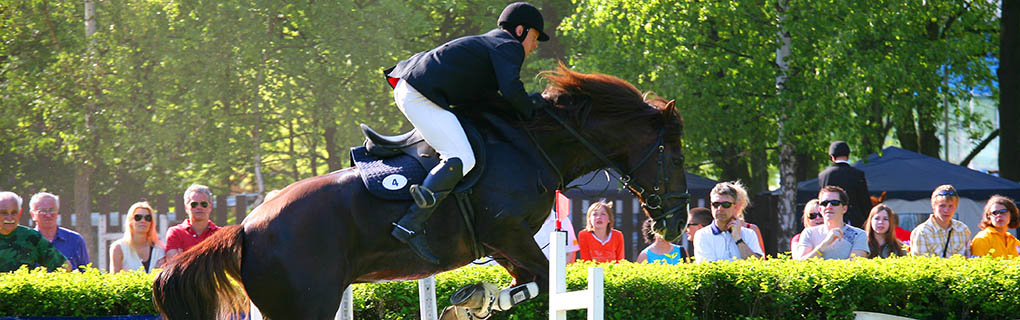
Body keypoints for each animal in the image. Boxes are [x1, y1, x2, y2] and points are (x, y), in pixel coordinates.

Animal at [150, 63, 689, 317]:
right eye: (675, 156)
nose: (677, 223)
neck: (531, 142)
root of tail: (246, 227)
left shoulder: (505, 244)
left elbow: (529, 282)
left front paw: (473, 300)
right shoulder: (508, 233)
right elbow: (538, 277)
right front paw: (475, 301)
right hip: (305, 305)